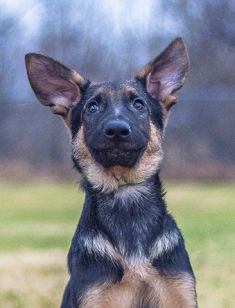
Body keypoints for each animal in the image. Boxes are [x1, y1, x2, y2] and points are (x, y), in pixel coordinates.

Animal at [25, 38, 196, 308]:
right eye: (92, 107)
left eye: (139, 104)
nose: (116, 130)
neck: (125, 192)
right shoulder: (94, 296)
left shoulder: (179, 293)